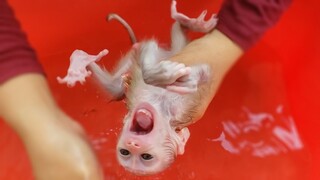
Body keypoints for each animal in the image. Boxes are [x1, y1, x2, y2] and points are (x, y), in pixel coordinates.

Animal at [57, 0, 218, 176]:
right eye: (125, 152)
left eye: (146, 156)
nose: (133, 143)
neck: (159, 104)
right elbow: (140, 65)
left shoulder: (182, 112)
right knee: (119, 84)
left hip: (177, 53)